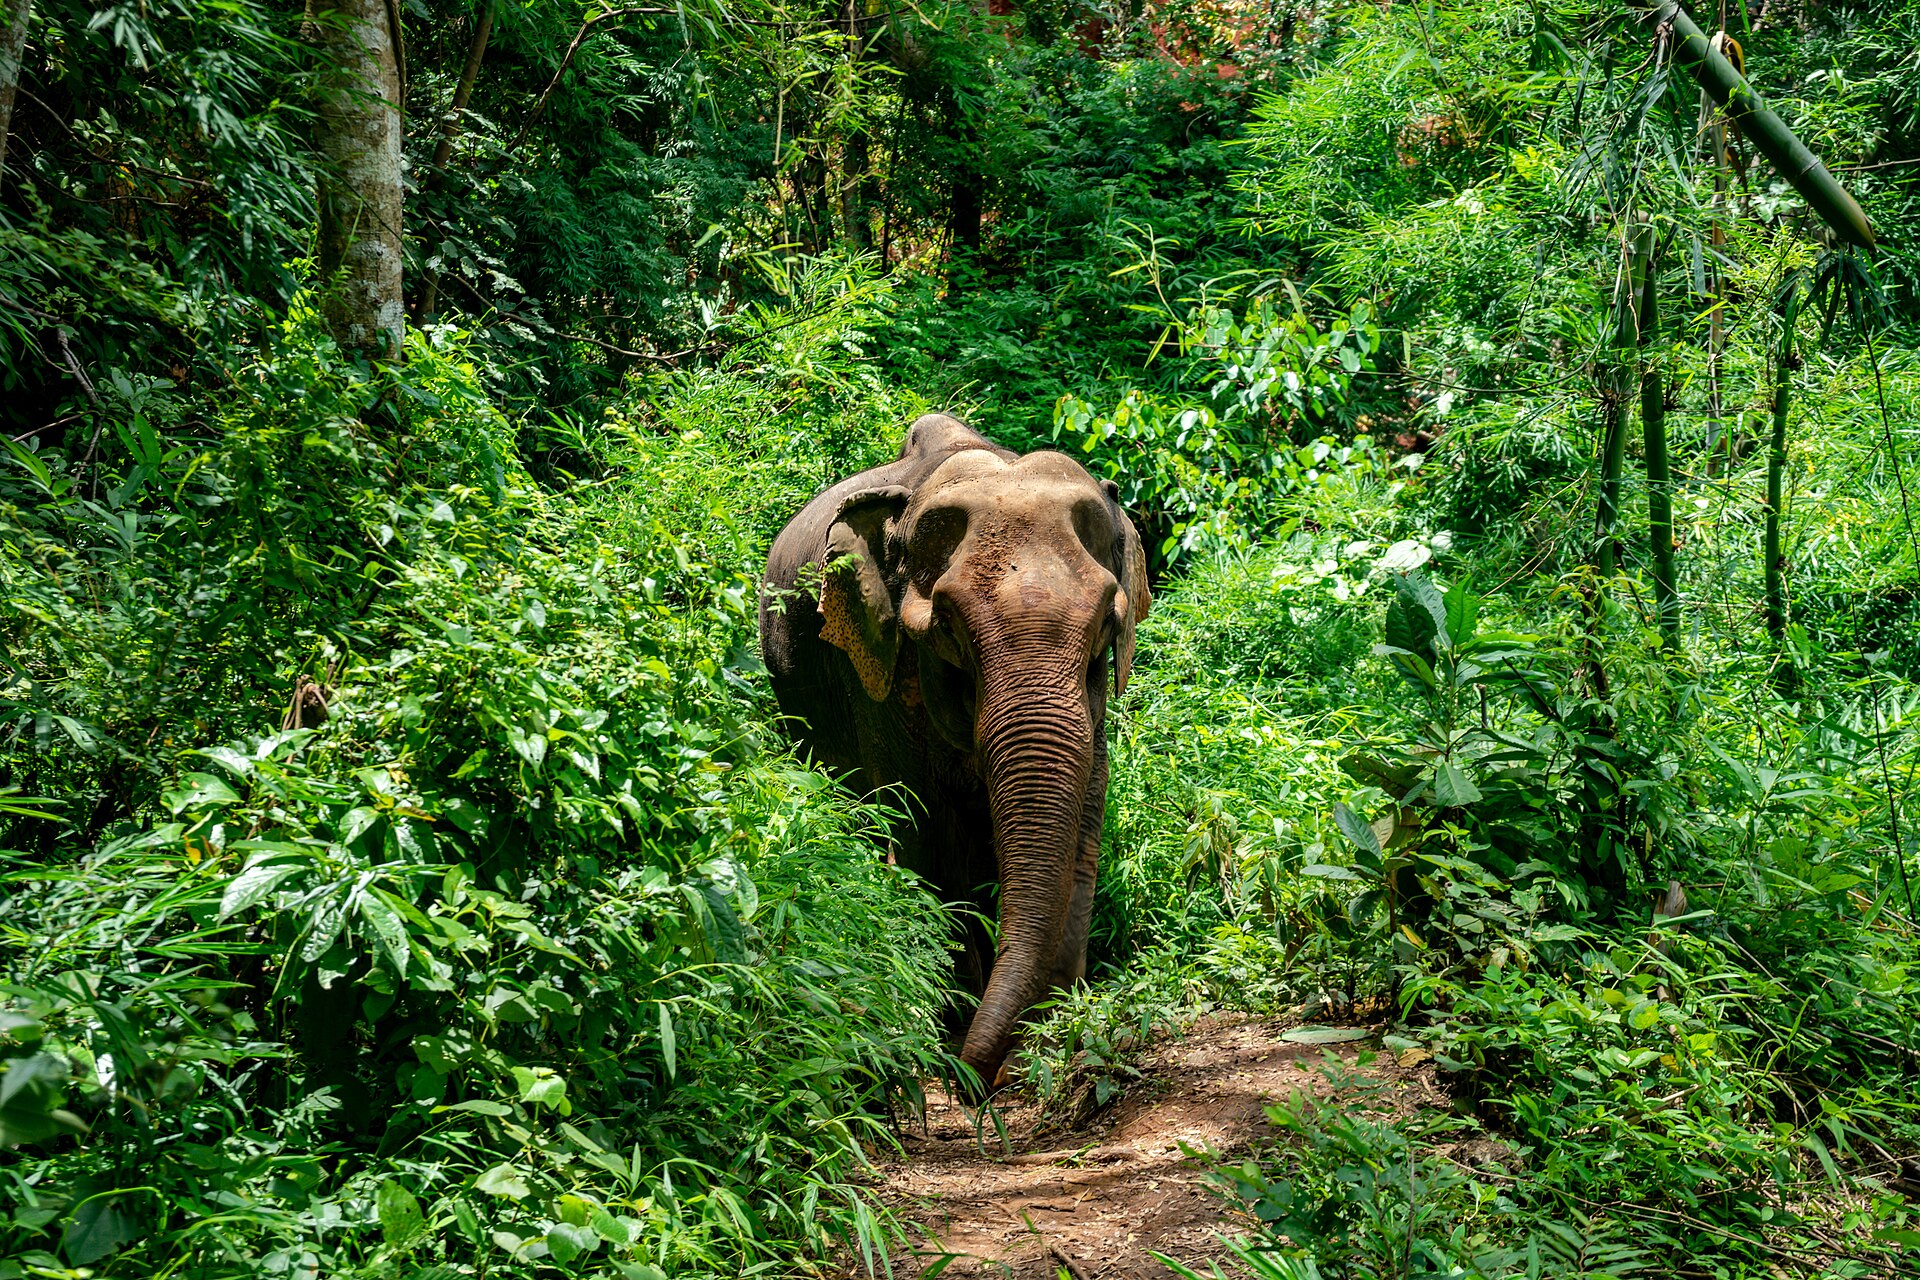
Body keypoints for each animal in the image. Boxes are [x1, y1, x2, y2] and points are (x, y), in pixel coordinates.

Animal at [759, 413, 1151, 1086]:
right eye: (946, 629)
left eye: (1106, 623)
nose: (978, 1089)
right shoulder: (880, 673)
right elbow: (931, 832)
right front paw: (958, 1036)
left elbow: (1084, 823)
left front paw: (1051, 1031)